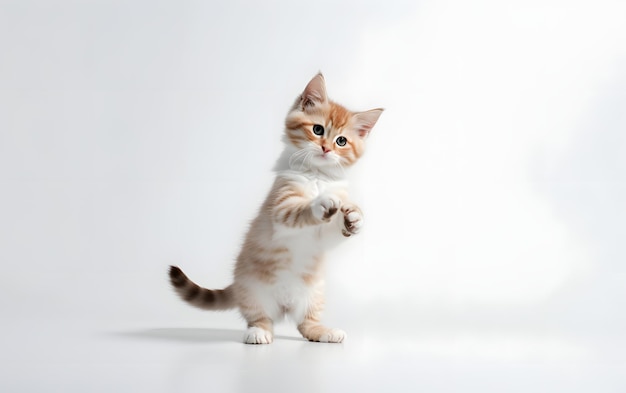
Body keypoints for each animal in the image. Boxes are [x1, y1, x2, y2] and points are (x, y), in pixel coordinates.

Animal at [168, 73, 380, 344]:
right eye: (318, 129)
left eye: (341, 141)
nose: (326, 148)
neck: (317, 176)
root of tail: (285, 306)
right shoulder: (280, 207)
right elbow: (297, 211)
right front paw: (320, 202)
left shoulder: (321, 236)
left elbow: (332, 232)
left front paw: (355, 219)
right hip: (253, 291)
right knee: (260, 318)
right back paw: (258, 333)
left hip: (314, 294)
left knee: (306, 324)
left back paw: (325, 332)